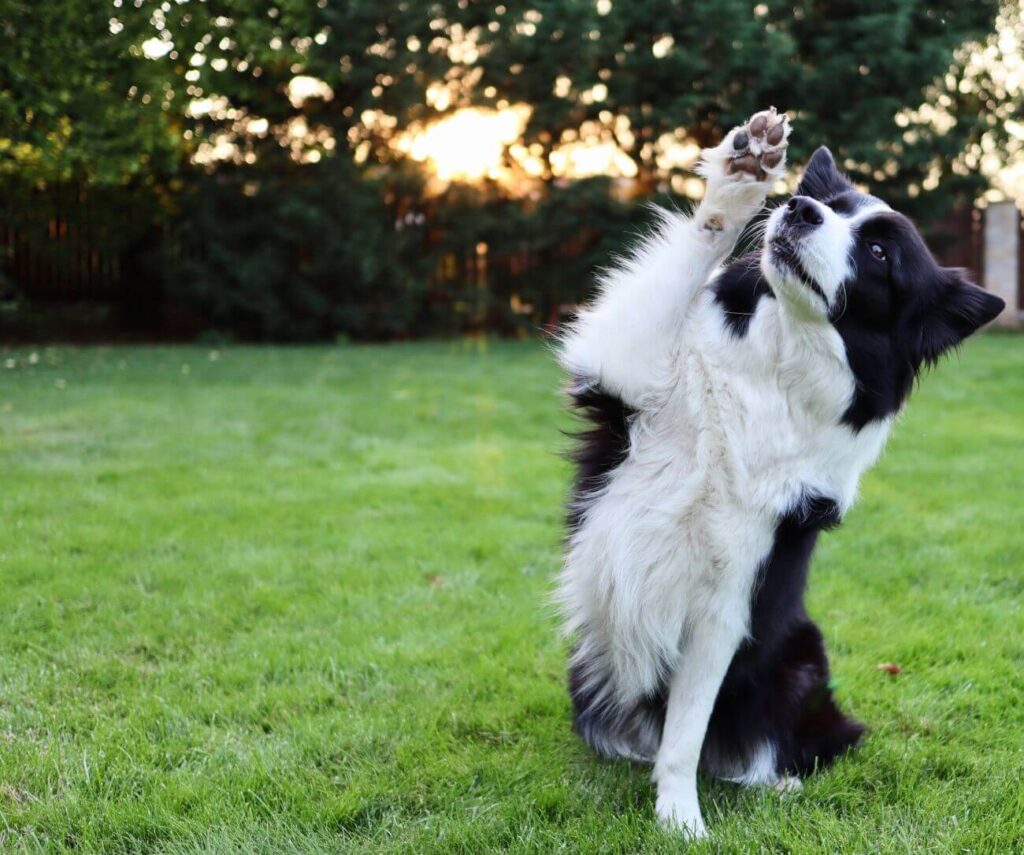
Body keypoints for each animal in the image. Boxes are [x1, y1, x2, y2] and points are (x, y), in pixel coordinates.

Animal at [557, 110, 1003, 839]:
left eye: (879, 253)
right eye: (834, 206)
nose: (798, 207)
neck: (772, 369)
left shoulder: (727, 600)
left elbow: (686, 732)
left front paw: (679, 820)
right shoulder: (625, 372)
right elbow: (695, 250)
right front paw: (742, 178)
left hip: (801, 657)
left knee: (779, 743)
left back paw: (777, 782)